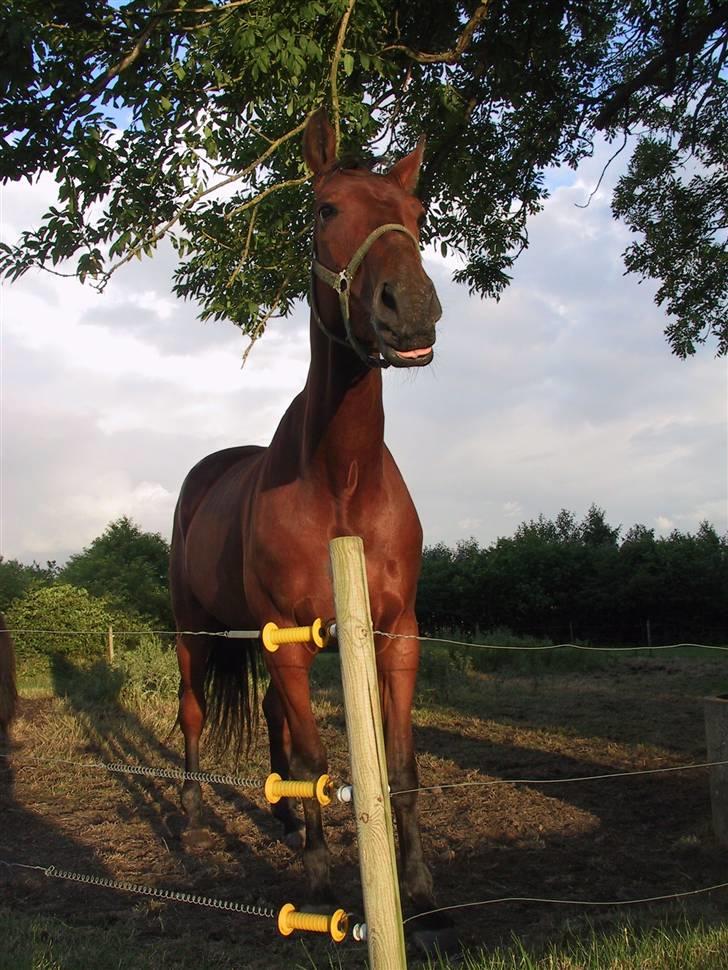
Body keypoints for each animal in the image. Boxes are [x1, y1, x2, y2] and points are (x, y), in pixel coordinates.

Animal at [171, 111, 450, 936]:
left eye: (417, 214)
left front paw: (419, 886)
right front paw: (325, 878)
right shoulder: (291, 642)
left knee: (270, 721)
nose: (410, 308)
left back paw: (285, 819)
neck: (340, 481)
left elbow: (399, 768)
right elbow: (318, 762)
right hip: (194, 630)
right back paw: (192, 811)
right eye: (325, 210)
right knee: (194, 713)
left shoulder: (396, 634)